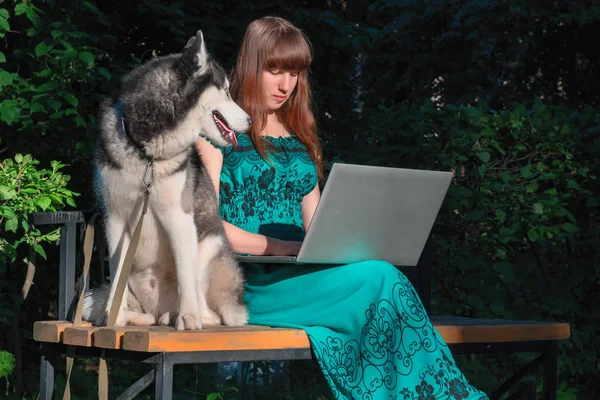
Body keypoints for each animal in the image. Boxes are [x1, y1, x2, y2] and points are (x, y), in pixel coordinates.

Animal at [83, 29, 250, 330]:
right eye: (226, 90)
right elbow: (116, 275)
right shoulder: (115, 218)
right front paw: (114, 316)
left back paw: (186, 315)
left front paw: (189, 318)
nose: (251, 120)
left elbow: (185, 275)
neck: (146, 151)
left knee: (215, 313)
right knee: (144, 310)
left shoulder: (179, 217)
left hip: (209, 247)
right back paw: (139, 316)